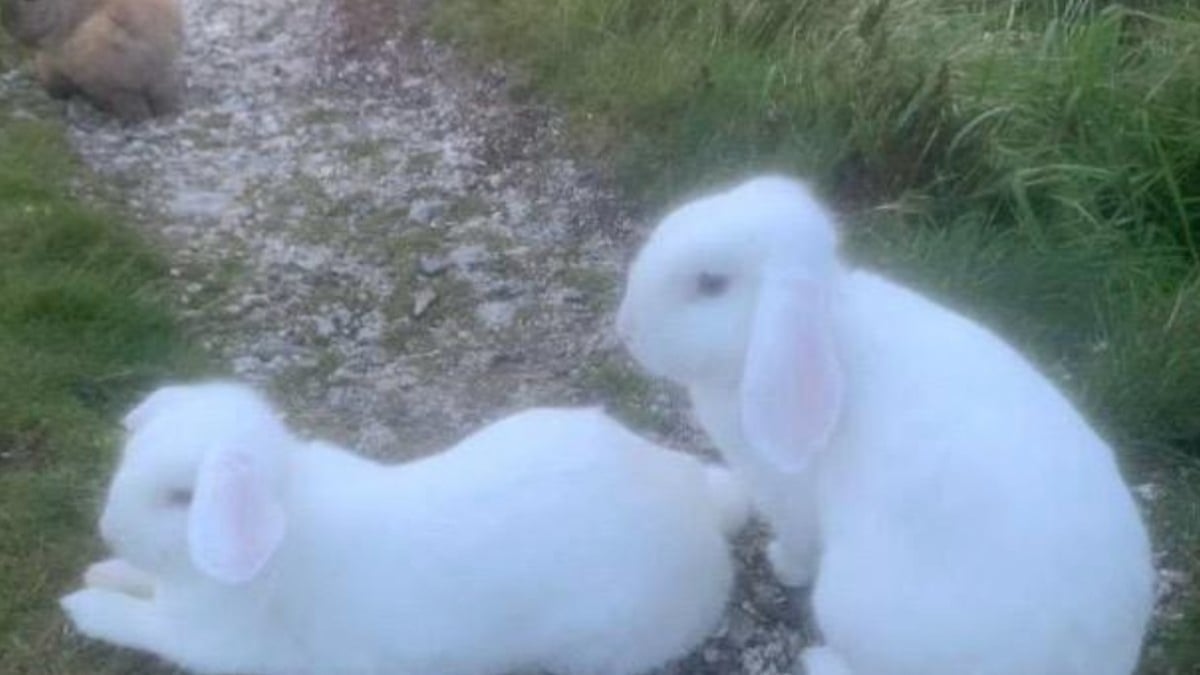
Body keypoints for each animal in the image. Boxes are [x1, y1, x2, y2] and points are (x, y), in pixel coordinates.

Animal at [63, 381, 748, 667]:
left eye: (182, 497)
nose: (108, 527)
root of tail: (698, 504)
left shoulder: (214, 646)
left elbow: (141, 624)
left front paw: (82, 604)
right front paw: (103, 570)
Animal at [614, 174, 1156, 672]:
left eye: (710, 284)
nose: (627, 329)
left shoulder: (790, 500)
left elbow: (798, 543)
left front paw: (782, 565)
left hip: (849, 603)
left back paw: (818, 659)